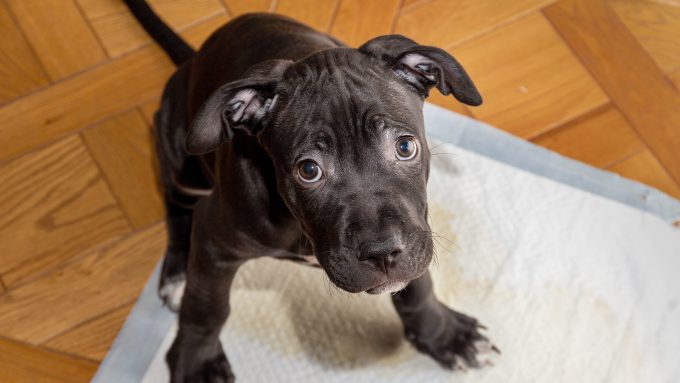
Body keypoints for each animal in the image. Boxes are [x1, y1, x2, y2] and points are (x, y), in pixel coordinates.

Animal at [125, 1, 496, 382]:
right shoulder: (214, 238)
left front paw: (444, 335)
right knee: (174, 203)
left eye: (405, 147)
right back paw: (176, 275)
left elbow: (418, 283)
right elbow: (206, 307)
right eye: (309, 170)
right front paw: (197, 362)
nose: (382, 253)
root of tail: (191, 59)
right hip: (182, 164)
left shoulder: (416, 228)